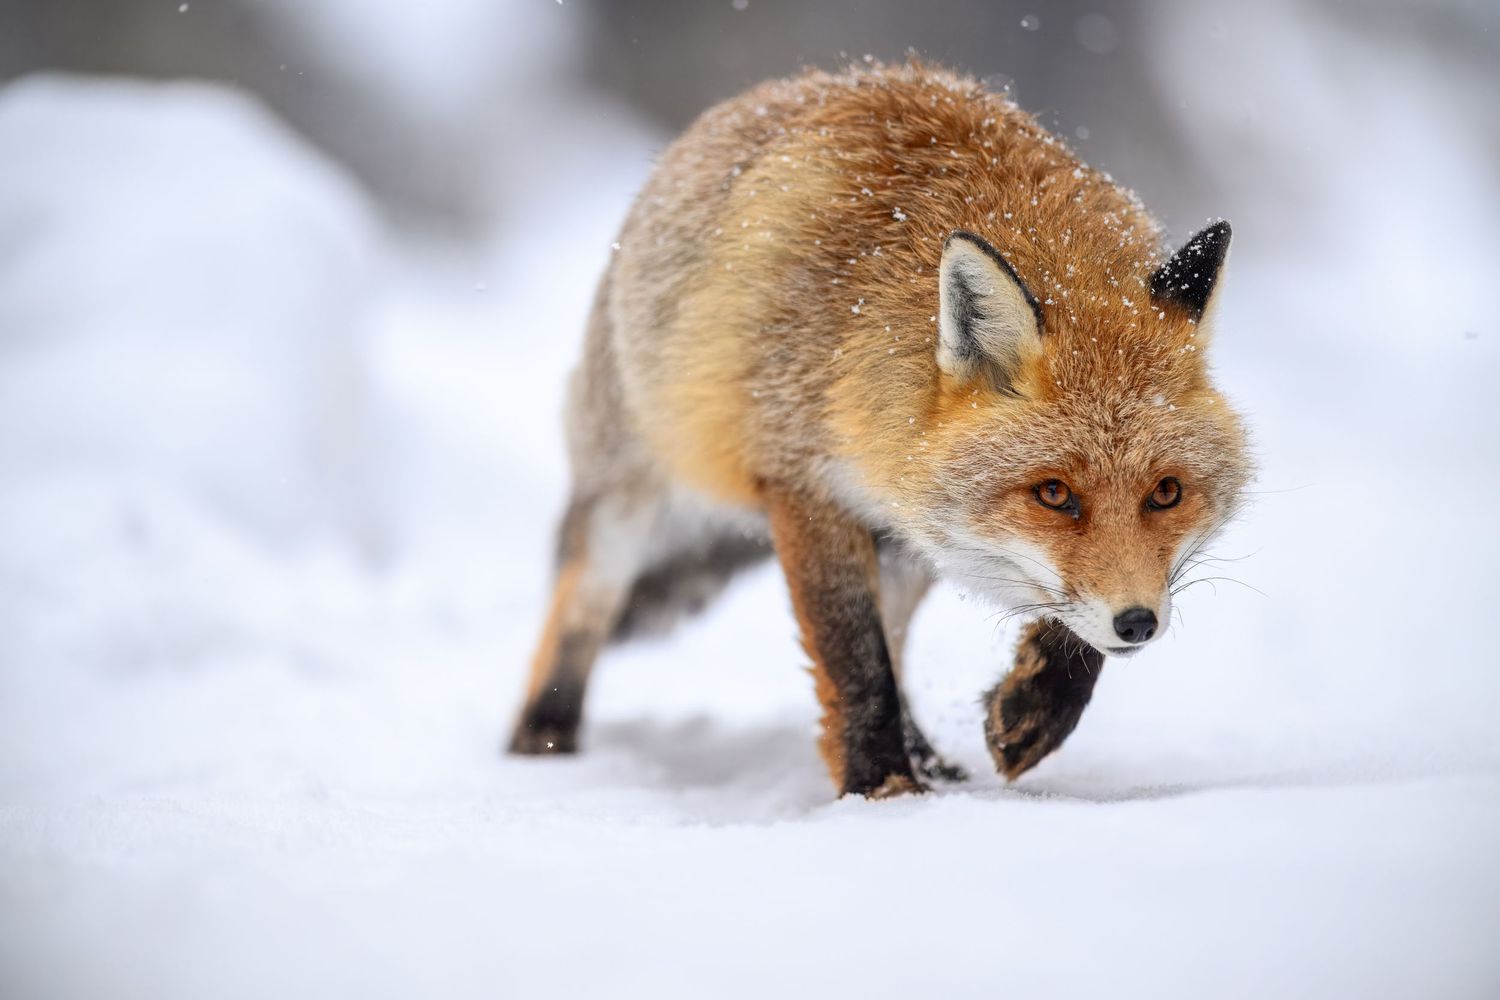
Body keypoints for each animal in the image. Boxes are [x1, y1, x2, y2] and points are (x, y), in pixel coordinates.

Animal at [507, 61, 1251, 798]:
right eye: (1053, 494)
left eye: (1166, 493)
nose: (1139, 623)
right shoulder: (804, 486)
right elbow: (854, 661)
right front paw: (881, 788)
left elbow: (1051, 633)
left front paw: (1034, 710)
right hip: (630, 501)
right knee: (580, 601)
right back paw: (541, 737)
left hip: (904, 547)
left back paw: (931, 758)